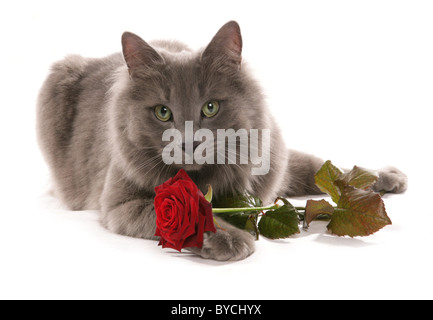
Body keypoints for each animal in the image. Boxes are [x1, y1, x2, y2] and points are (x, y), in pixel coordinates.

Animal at [36, 20, 404, 260]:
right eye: (163, 113)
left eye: (210, 107)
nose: (188, 142)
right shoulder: (120, 204)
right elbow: (188, 214)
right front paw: (229, 238)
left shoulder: (272, 166)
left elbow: (322, 169)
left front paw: (377, 181)